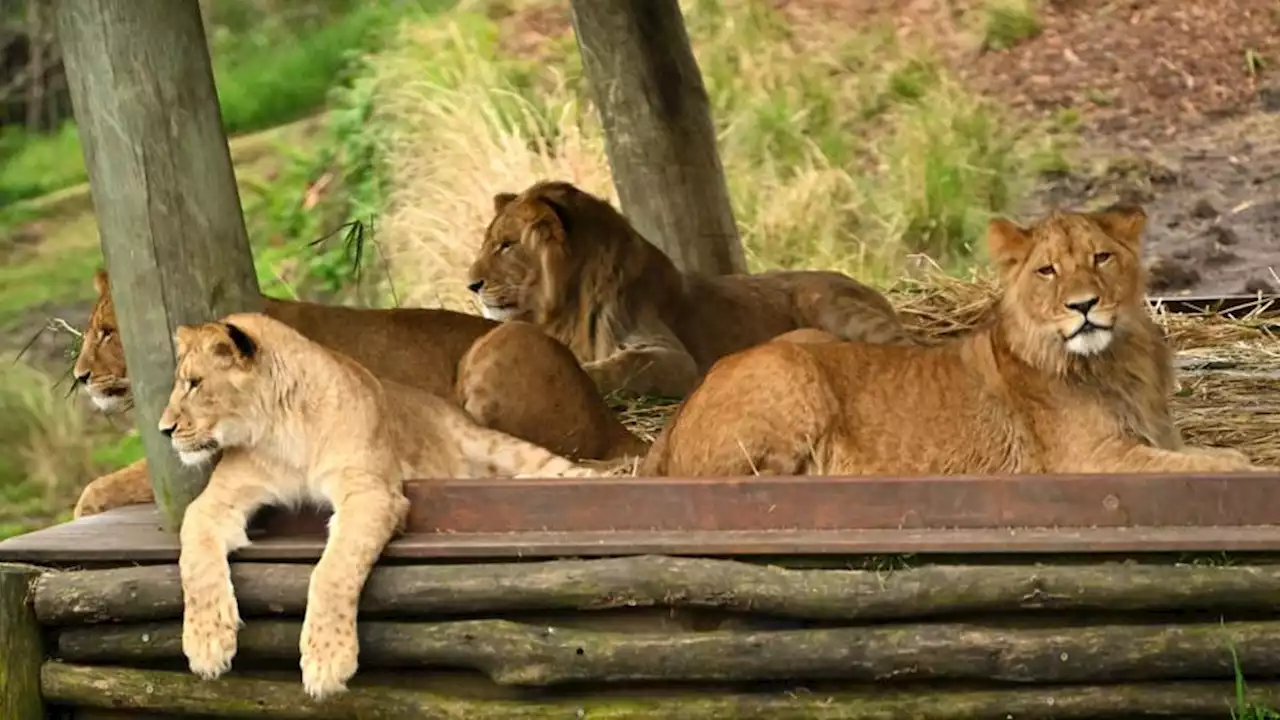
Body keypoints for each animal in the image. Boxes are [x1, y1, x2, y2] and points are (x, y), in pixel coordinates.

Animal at [161, 311, 593, 696]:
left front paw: (327, 660)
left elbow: (333, 570)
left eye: (194, 384)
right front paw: (205, 642)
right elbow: (194, 556)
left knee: (560, 468)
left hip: (494, 444)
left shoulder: (372, 492)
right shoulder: (219, 498)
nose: (165, 430)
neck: (280, 430)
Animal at [465, 176, 916, 394]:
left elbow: (625, 366)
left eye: (507, 245)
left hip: (829, 302)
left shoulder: (675, 360)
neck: (567, 305)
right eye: (490, 242)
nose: (471, 285)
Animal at [640, 203, 1259, 476]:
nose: (1083, 306)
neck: (1118, 360)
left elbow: (1219, 455)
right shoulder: (1092, 461)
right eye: (1047, 271)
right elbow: (1223, 468)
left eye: (1101, 258)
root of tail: (671, 425)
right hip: (789, 370)